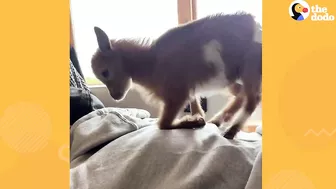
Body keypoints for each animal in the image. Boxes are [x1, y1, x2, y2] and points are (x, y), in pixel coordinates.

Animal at [92, 11, 262, 139]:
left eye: (105, 72)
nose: (116, 96)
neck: (151, 64)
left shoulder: (176, 96)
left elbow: (163, 124)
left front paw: (194, 122)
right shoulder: (189, 90)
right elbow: (196, 108)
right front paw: (198, 119)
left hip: (249, 68)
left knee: (252, 100)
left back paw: (231, 131)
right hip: (229, 78)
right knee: (242, 95)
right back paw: (218, 121)